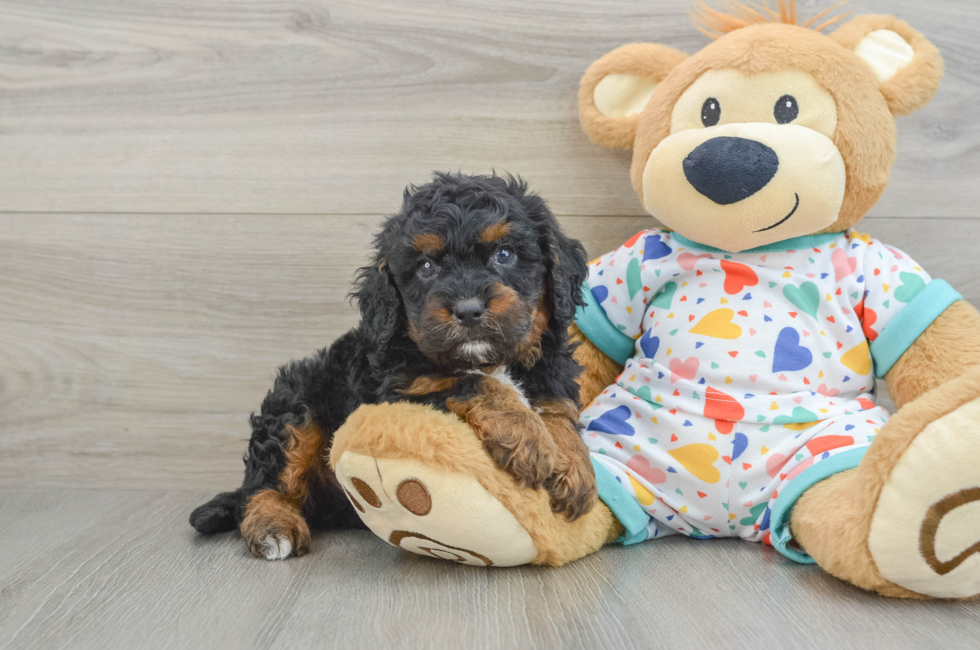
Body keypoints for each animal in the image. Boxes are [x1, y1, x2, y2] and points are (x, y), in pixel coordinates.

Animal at [188, 172, 592, 556]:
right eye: (426, 266)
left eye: (505, 255)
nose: (468, 310)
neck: (490, 358)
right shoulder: (393, 396)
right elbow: (474, 382)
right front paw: (528, 436)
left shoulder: (551, 374)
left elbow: (558, 411)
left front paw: (574, 467)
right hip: (294, 406)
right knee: (265, 482)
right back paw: (272, 524)